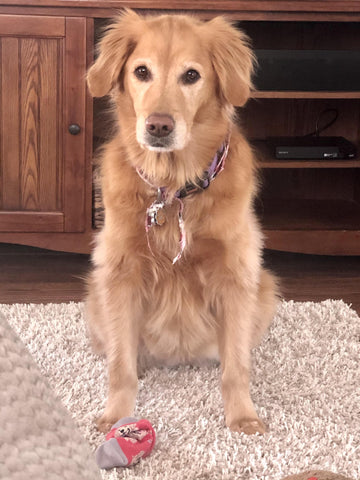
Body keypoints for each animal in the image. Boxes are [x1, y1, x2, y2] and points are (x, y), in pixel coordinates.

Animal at [86, 8, 278, 436]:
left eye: (191, 76)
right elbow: (120, 365)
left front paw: (242, 416)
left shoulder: (235, 274)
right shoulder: (120, 273)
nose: (158, 125)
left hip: (265, 288)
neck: (173, 189)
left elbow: (236, 367)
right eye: (141, 71)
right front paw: (115, 416)